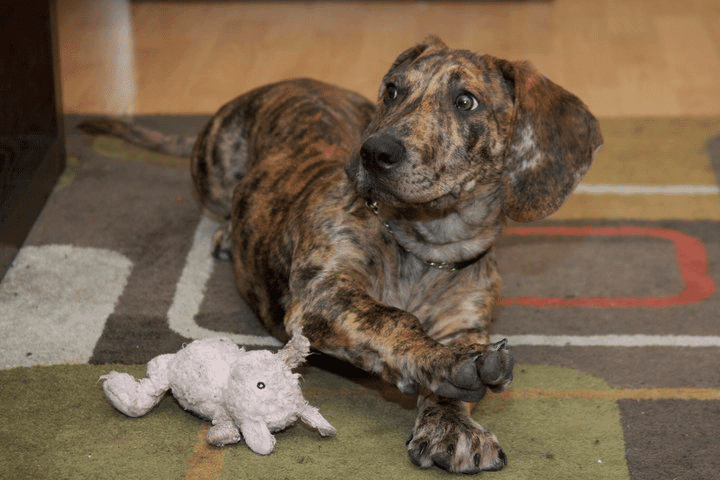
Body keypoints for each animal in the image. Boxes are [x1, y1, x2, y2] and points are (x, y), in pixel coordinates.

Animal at [77, 36, 600, 472]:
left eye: (465, 100)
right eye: (393, 90)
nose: (374, 152)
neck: (424, 248)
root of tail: (287, 81)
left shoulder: (467, 324)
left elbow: (454, 381)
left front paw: (451, 426)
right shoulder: (325, 294)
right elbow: (393, 321)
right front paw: (445, 363)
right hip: (215, 173)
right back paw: (225, 232)